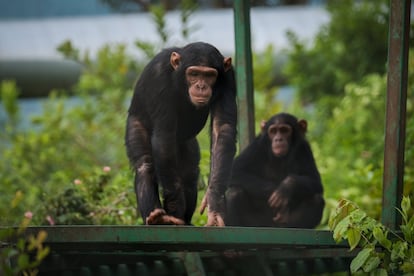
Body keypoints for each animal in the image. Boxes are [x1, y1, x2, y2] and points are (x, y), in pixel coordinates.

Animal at [124, 41, 236, 226]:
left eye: (209, 75)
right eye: (194, 73)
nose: (201, 86)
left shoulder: (228, 78)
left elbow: (222, 128)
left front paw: (215, 202)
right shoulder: (158, 77)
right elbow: (164, 135)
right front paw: (175, 207)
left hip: (186, 142)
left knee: (189, 173)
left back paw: (185, 219)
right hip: (135, 122)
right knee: (145, 164)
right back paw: (158, 218)